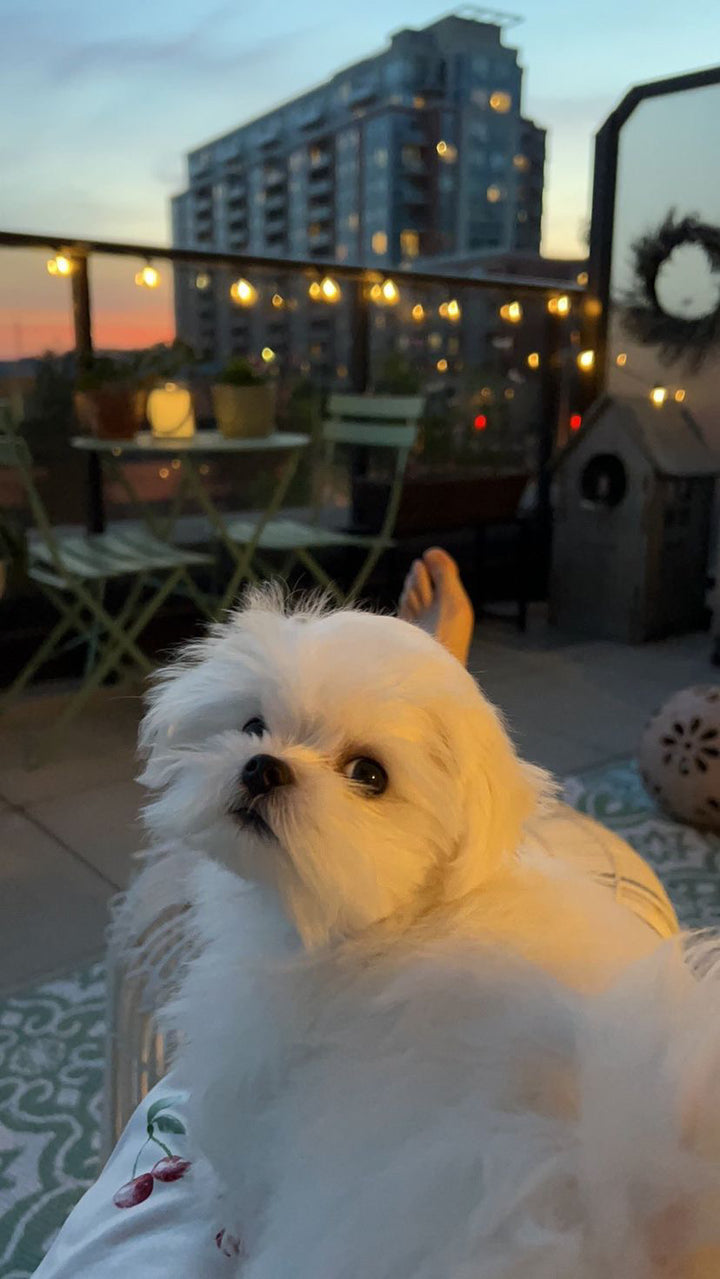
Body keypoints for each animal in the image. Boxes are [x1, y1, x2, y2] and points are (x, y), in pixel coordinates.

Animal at [132, 590, 720, 1279]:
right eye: (253, 726)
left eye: (369, 774)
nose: (263, 768)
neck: (393, 918)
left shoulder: (255, 1058)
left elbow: (242, 1155)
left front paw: (231, 1221)